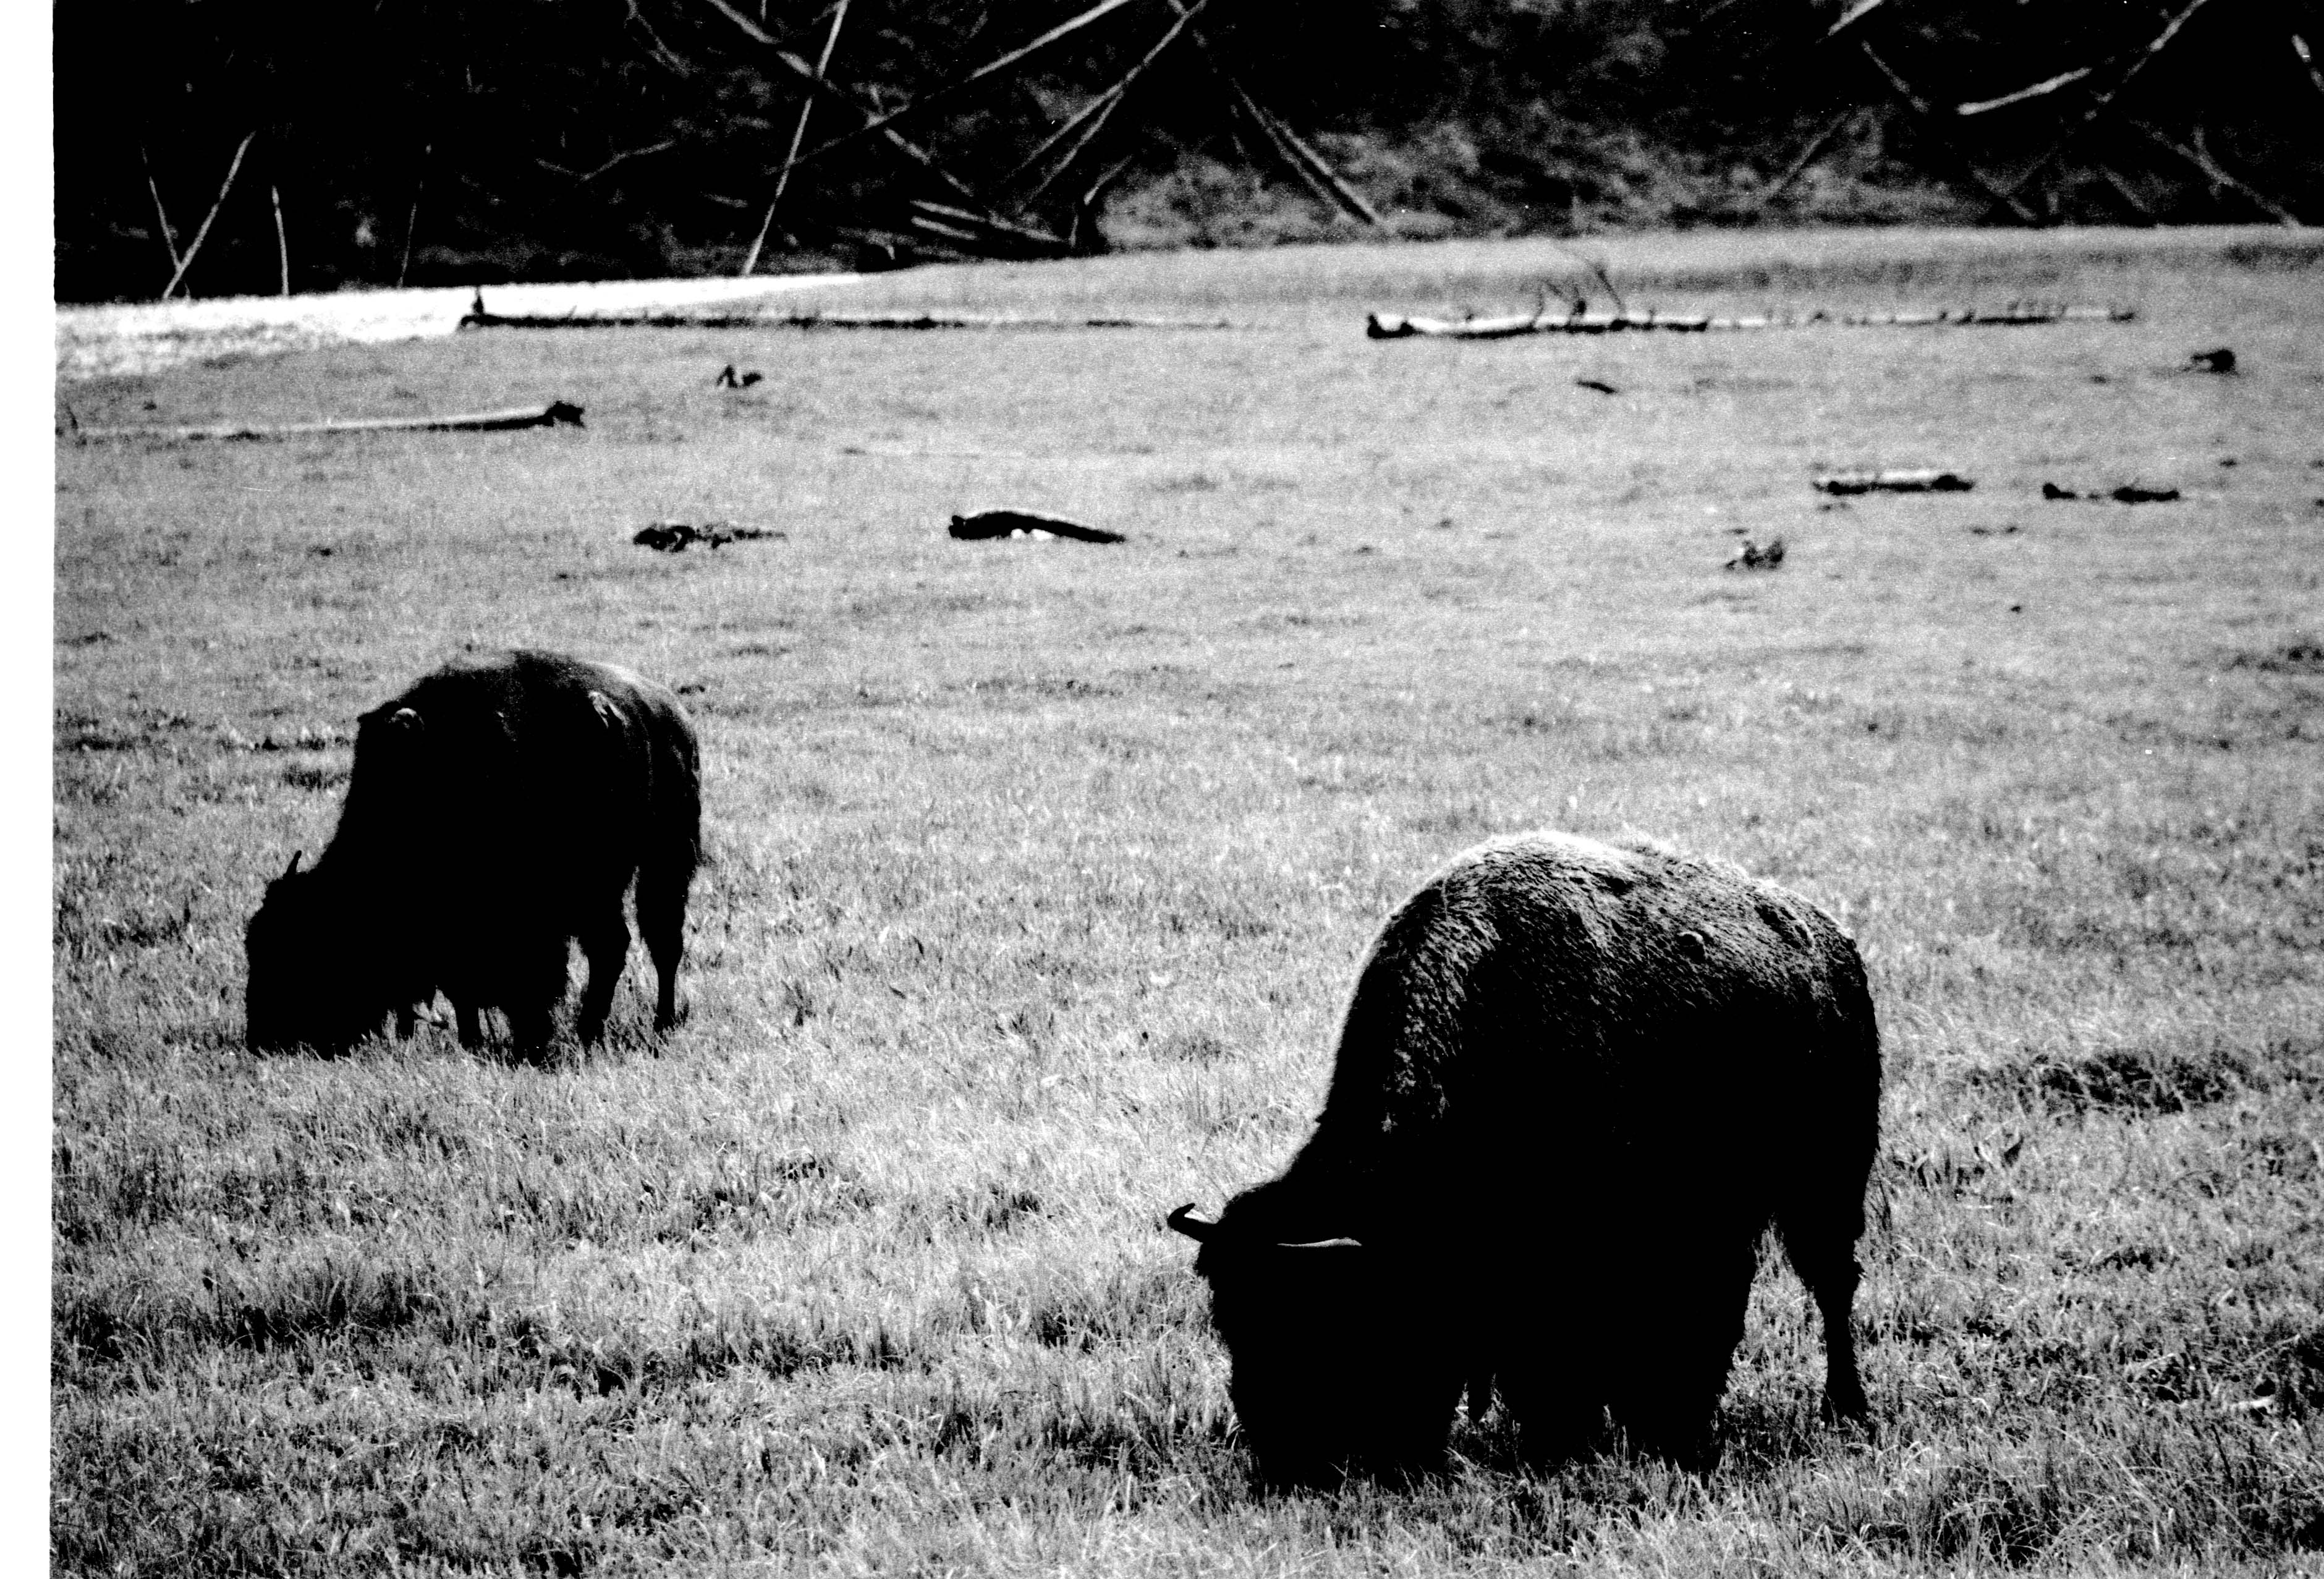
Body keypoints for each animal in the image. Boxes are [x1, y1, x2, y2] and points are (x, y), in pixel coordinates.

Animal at [245, 650, 700, 1059]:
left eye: (311, 951)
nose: (265, 1040)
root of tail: (666, 710)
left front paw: (529, 1041)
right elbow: (462, 985)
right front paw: (474, 1040)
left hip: (658, 860)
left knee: (654, 942)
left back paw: (643, 1025)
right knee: (624, 944)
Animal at [1169, 830, 1879, 1485]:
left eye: (1319, 1326)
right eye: (1230, 1323)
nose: (1283, 1463)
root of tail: (1833, 945)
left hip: (1827, 1183)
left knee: (1830, 1287)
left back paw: (1843, 1409)